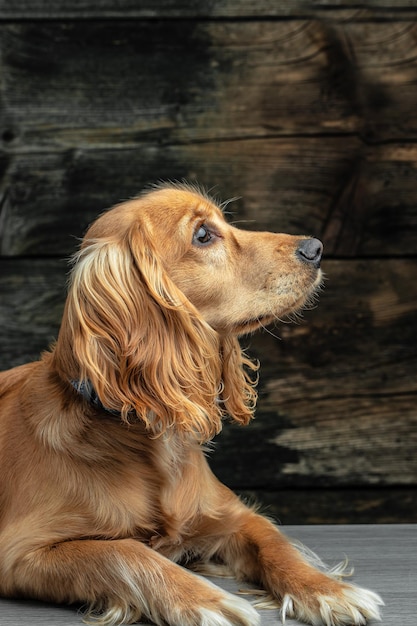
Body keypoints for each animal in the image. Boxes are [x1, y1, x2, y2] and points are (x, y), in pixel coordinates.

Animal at [0, 183, 384, 620]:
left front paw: (327, 590)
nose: (316, 248)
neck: (147, 440)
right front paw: (205, 600)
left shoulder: (234, 515)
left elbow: (276, 543)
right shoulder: (22, 553)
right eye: (203, 235)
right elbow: (125, 552)